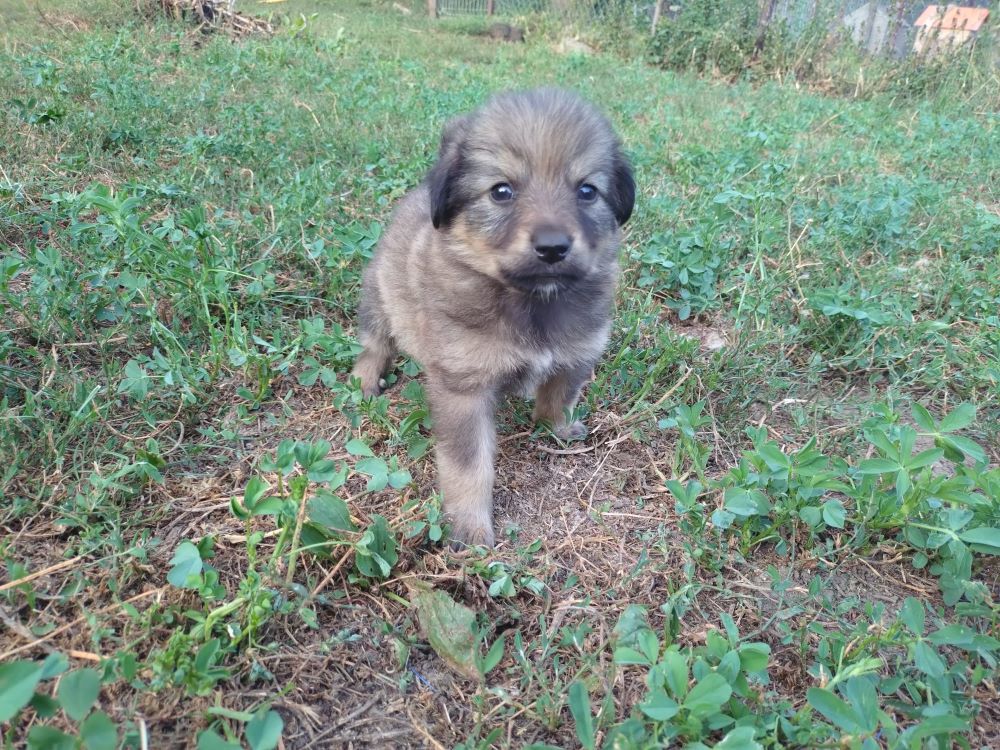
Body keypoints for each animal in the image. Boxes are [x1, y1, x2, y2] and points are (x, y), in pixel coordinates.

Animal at [352, 88, 632, 548]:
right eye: (501, 191)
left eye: (587, 190)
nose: (553, 247)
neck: (531, 302)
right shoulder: (464, 388)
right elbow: (469, 466)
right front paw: (470, 527)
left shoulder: (577, 354)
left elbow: (559, 395)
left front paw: (557, 428)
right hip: (380, 299)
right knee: (373, 344)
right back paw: (365, 381)